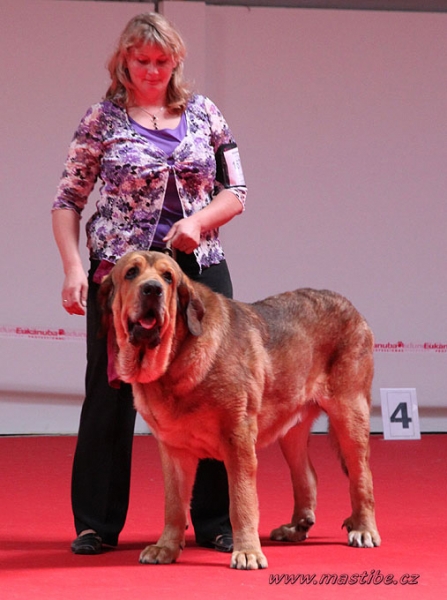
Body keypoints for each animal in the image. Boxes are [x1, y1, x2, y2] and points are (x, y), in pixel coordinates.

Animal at [101, 251, 382, 568]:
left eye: (168, 277)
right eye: (131, 273)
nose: (152, 289)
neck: (176, 359)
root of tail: (352, 308)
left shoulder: (238, 439)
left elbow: (241, 501)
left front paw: (247, 551)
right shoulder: (173, 450)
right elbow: (173, 505)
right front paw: (166, 548)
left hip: (350, 414)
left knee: (362, 475)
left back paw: (364, 529)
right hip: (291, 428)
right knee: (307, 474)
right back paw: (296, 527)